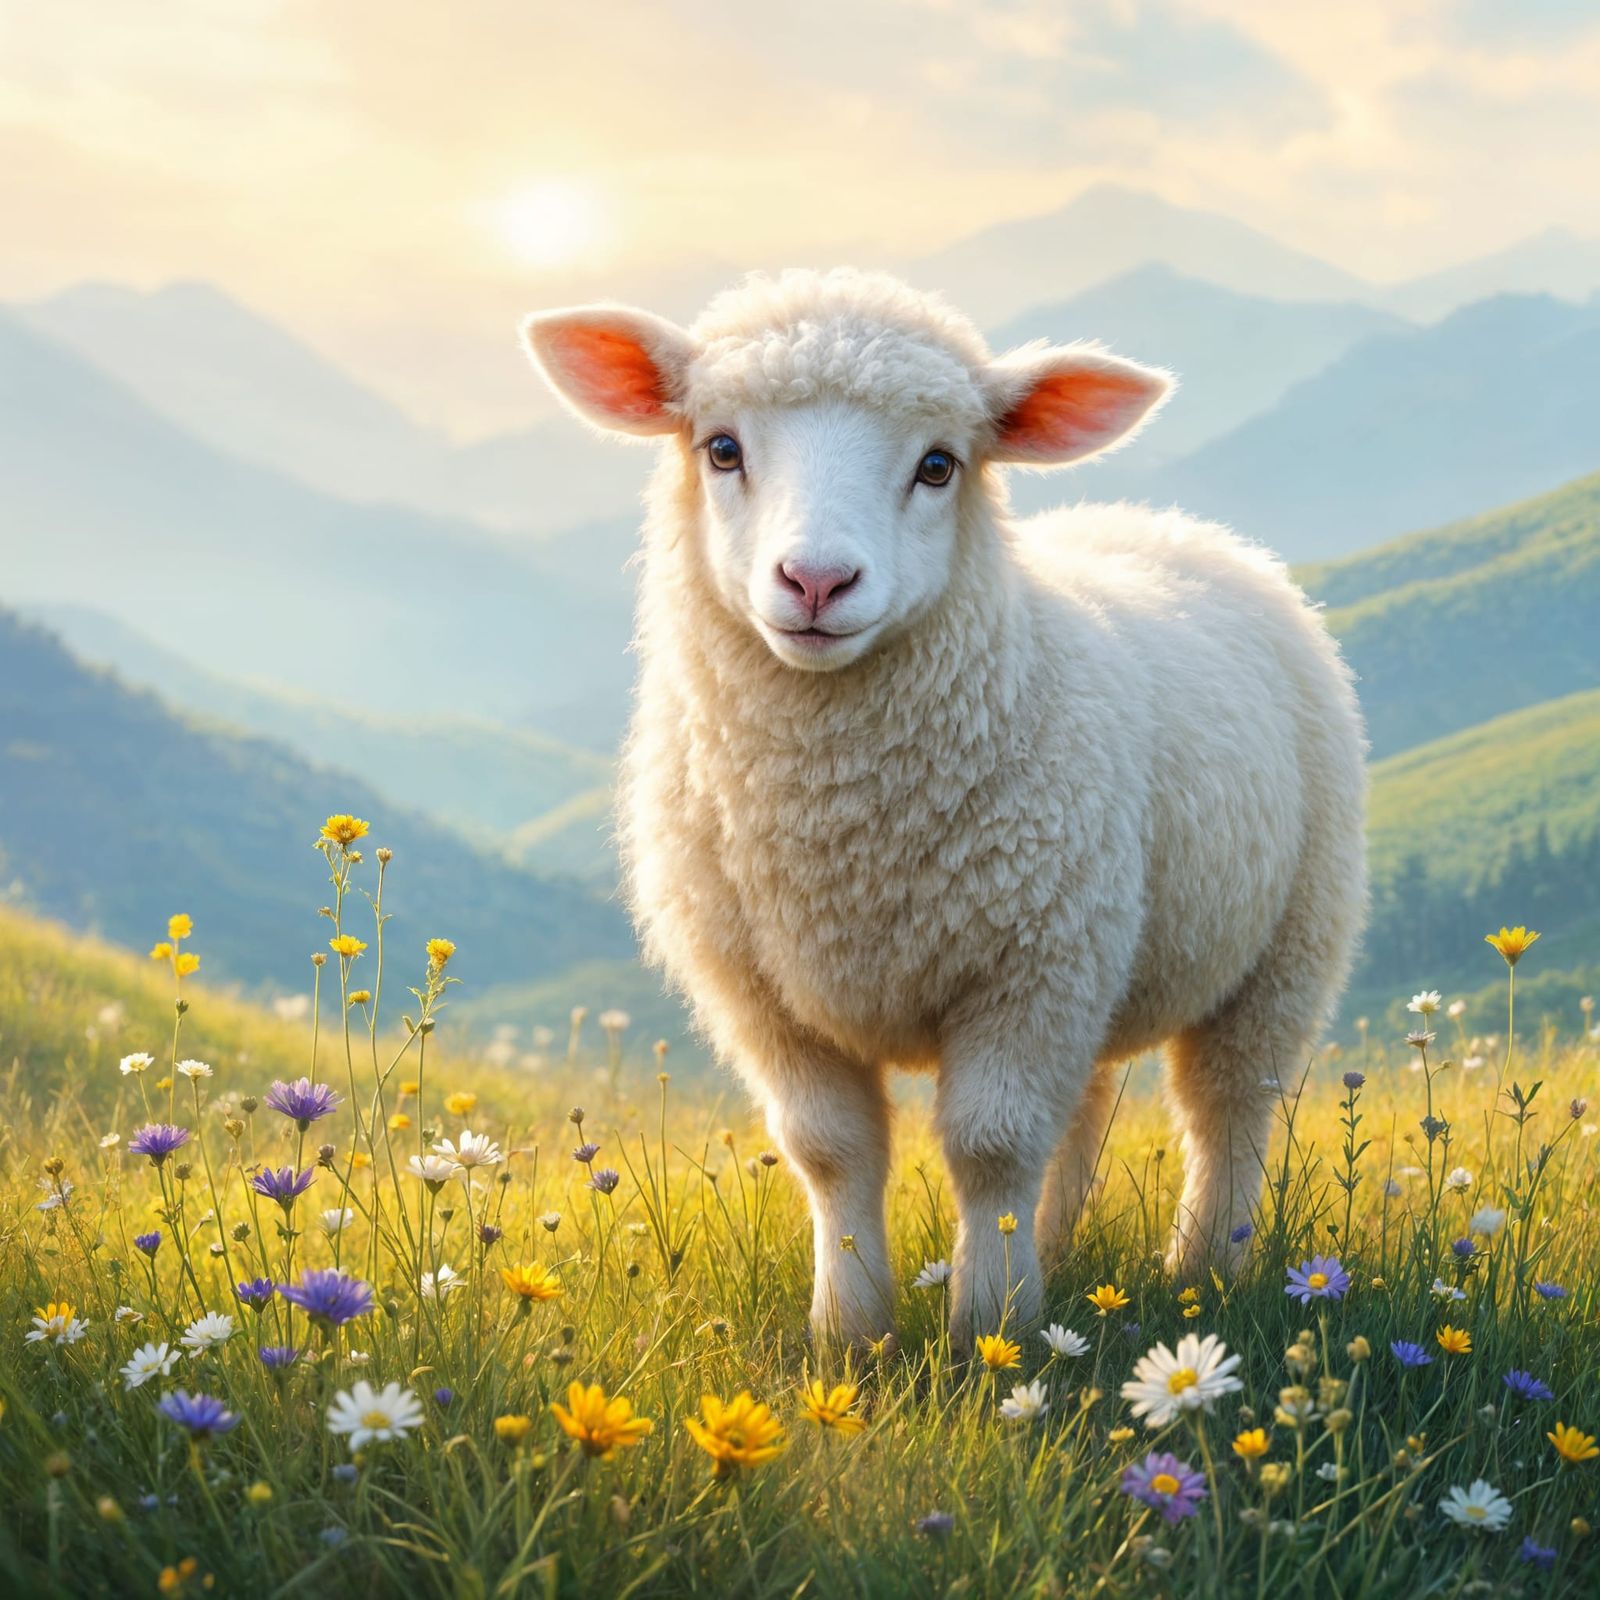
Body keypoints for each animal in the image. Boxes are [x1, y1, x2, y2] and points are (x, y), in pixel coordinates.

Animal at [522, 268, 1367, 1350]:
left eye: (938, 465)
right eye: (721, 448)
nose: (816, 581)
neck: (841, 831)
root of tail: (1168, 523)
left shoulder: (1030, 967)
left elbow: (991, 1145)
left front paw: (989, 1333)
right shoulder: (765, 994)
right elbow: (830, 1150)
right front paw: (852, 1329)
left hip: (1284, 942)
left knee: (1226, 1108)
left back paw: (1204, 1268)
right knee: (1086, 1106)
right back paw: (1060, 1249)